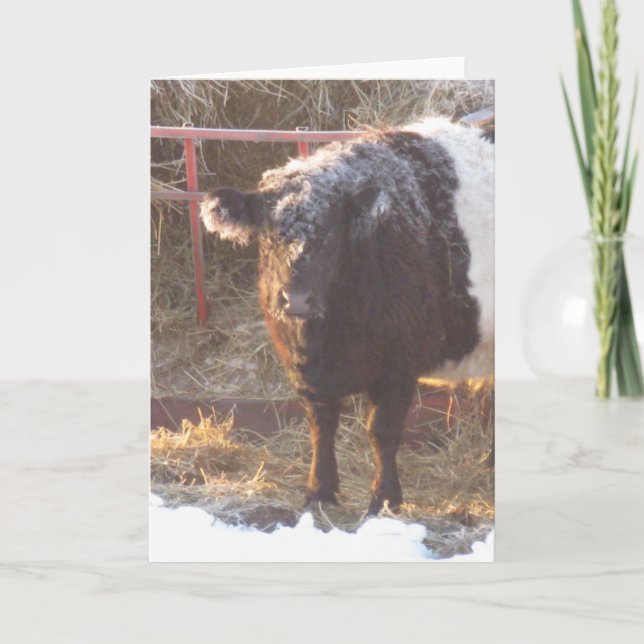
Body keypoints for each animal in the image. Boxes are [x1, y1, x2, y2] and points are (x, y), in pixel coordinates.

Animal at [200, 117, 494, 515]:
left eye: (328, 235)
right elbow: (321, 425)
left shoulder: (398, 365)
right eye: (270, 235)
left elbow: (381, 431)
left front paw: (384, 498)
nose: (297, 299)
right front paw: (320, 490)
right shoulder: (305, 368)